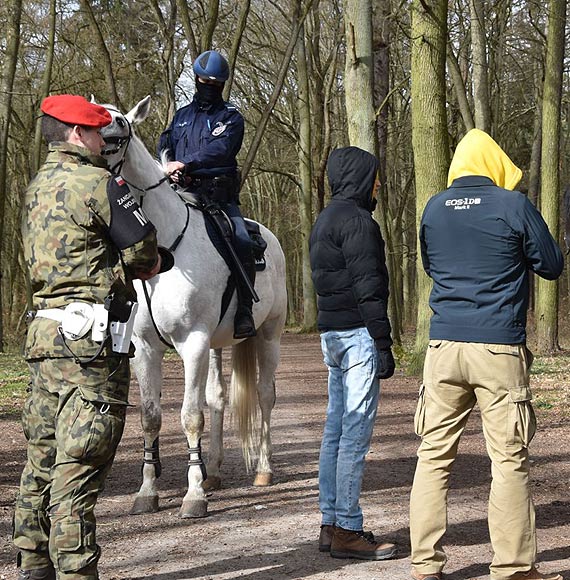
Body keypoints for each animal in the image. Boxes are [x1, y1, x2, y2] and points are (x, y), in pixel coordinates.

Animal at [97, 96, 286, 520]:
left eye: (117, 127)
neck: (164, 252)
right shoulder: (146, 348)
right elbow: (152, 417)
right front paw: (148, 492)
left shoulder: (193, 343)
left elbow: (189, 416)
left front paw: (194, 494)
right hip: (218, 344)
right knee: (217, 398)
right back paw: (214, 471)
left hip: (268, 335)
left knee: (265, 395)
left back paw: (263, 470)